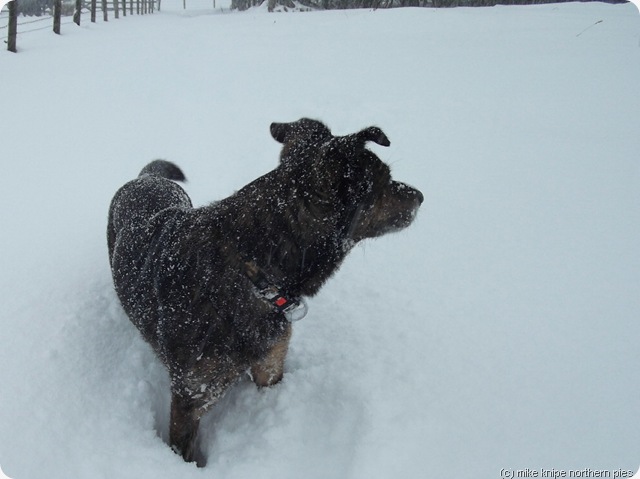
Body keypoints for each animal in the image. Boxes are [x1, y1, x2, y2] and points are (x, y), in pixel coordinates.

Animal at [107, 118, 423, 465]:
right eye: (386, 180)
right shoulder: (191, 396)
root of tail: (144, 178)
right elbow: (184, 448)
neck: (251, 269)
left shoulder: (271, 363)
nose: (421, 196)